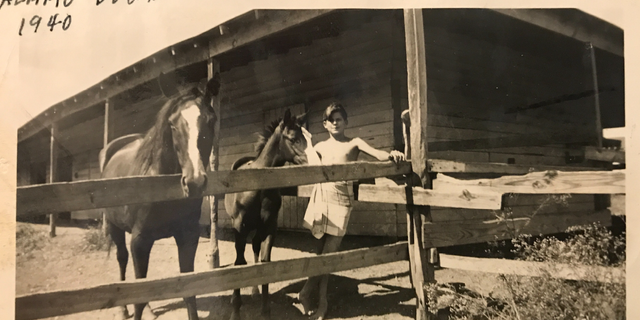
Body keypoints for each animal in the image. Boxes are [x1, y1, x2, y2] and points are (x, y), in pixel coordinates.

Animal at [99, 75, 220, 320]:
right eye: (172, 124)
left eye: (211, 121)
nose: (194, 182)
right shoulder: (139, 241)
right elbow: (138, 296)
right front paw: (134, 309)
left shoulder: (188, 237)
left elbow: (189, 292)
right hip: (116, 229)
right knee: (122, 260)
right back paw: (123, 309)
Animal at [225, 109, 312, 320]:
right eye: (293, 138)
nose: (314, 161)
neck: (258, 187)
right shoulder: (239, 229)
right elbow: (239, 263)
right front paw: (235, 310)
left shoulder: (270, 228)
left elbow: (265, 264)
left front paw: (265, 310)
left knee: (256, 248)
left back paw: (255, 292)